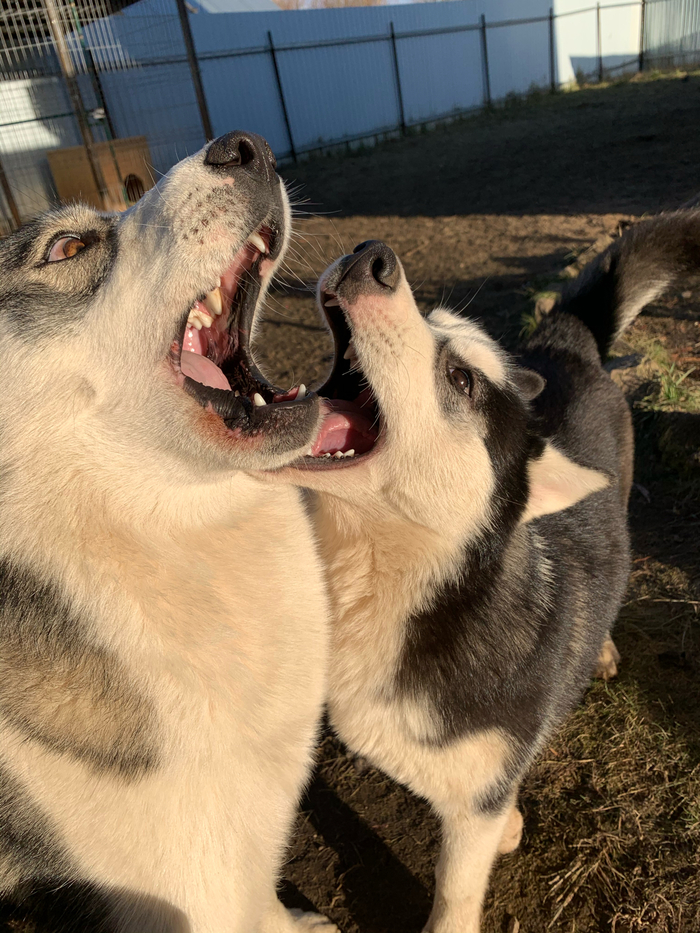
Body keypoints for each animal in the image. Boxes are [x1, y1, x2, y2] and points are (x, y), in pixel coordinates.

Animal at [268, 213, 700, 932]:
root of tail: (563, 345)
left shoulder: (473, 804)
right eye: (432, 319)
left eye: (462, 379)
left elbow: (456, 889)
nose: (372, 257)